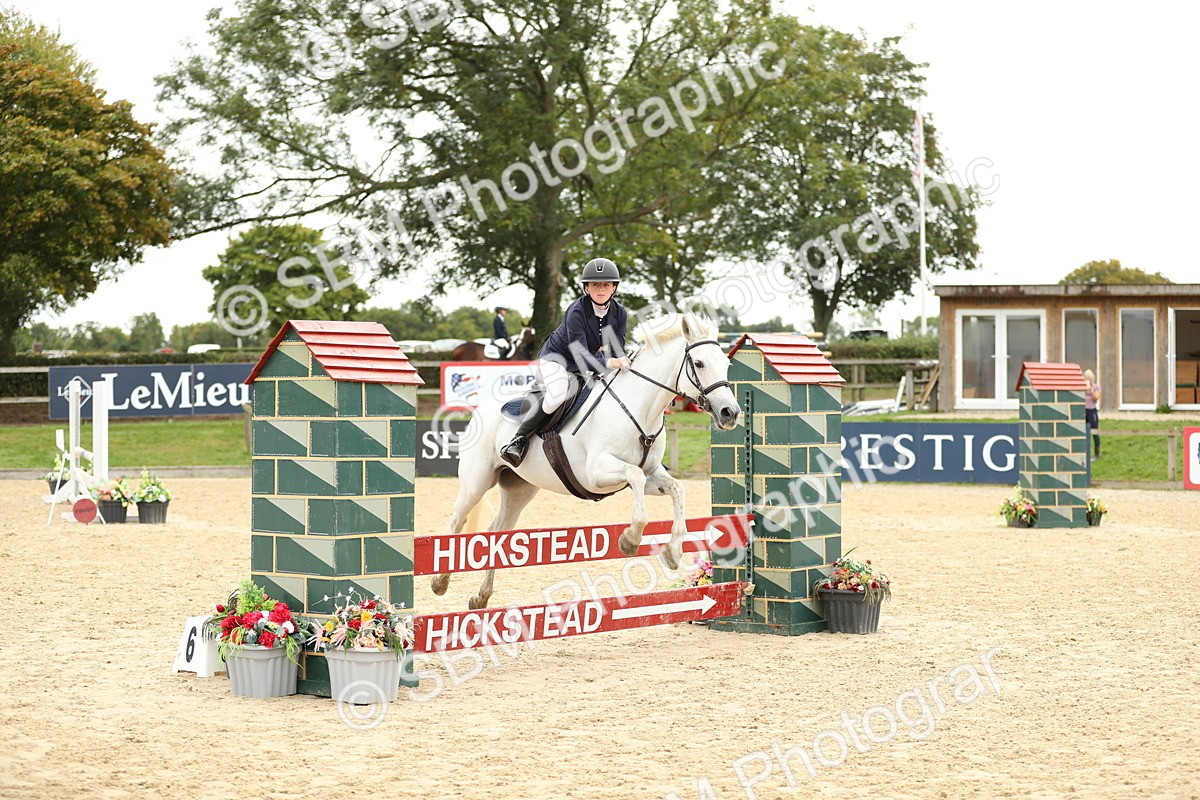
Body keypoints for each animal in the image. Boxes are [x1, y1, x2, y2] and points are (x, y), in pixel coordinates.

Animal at [431, 313, 741, 610]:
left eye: (726, 364)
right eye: (699, 363)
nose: (730, 413)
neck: (639, 407)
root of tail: (481, 409)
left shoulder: (653, 474)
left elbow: (677, 488)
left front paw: (673, 551)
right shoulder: (596, 473)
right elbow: (635, 477)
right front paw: (630, 540)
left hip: (520, 489)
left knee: (497, 532)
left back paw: (481, 597)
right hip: (476, 482)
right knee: (457, 520)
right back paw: (440, 582)